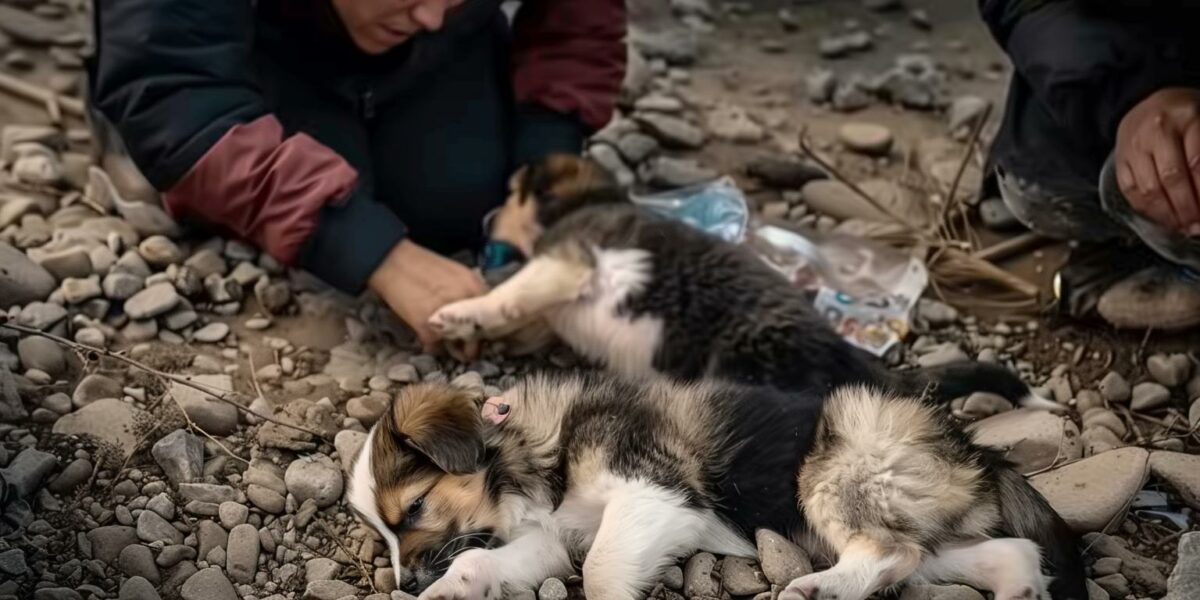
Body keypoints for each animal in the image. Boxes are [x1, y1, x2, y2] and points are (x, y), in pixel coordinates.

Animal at [348, 372, 1089, 600]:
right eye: (385, 529)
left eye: (415, 507)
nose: (403, 584)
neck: (528, 451)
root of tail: (971, 449)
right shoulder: (552, 538)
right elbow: (477, 560)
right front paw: (447, 590)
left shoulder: (652, 489)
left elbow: (604, 571)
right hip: (909, 521)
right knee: (1008, 554)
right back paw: (1017, 588)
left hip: (836, 473)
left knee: (888, 551)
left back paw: (816, 590)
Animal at [429, 152, 1060, 410]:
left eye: (512, 193)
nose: (484, 221)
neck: (587, 202)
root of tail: (848, 356)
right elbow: (522, 308)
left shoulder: (569, 258)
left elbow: (511, 294)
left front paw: (460, 313)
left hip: (740, 363)